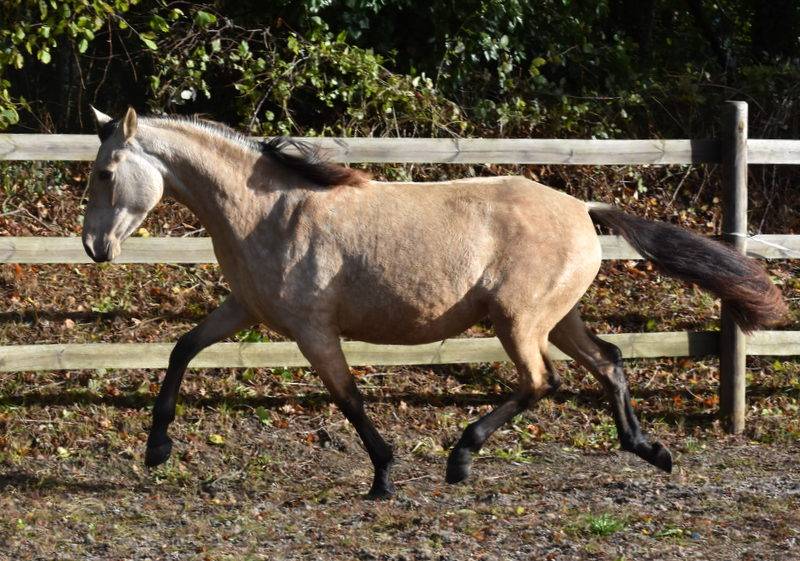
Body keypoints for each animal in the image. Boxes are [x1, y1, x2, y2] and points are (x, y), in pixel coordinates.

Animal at [82, 106, 786, 499]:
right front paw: (156, 450)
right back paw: (649, 450)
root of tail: (583, 209)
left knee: (542, 382)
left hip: (518, 321)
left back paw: (461, 457)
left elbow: (349, 398)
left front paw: (384, 477)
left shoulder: (313, 330)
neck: (269, 212)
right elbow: (181, 349)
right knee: (608, 362)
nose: (93, 246)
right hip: (557, 318)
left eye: (105, 172)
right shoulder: (245, 311)